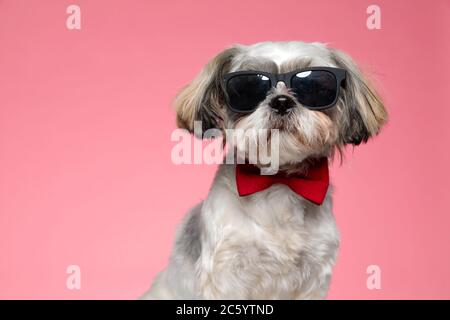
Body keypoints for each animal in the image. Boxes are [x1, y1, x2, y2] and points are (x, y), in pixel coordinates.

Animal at [143, 41, 386, 298]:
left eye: (316, 86)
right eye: (247, 88)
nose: (281, 101)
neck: (278, 180)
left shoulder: (314, 273)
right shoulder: (226, 272)